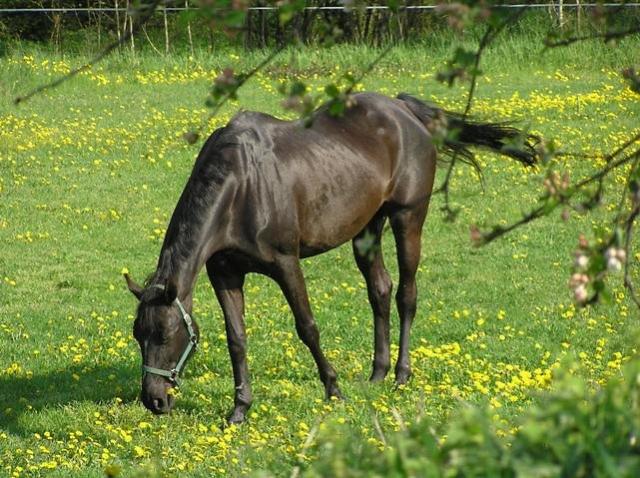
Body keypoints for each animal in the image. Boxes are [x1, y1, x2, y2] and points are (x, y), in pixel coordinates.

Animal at [124, 92, 536, 422]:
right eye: (137, 334)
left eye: (166, 334)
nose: (154, 401)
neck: (240, 186)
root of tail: (404, 109)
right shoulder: (224, 272)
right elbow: (236, 339)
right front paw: (240, 408)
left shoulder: (286, 263)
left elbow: (307, 327)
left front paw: (333, 388)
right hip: (367, 229)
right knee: (380, 290)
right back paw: (377, 373)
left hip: (408, 218)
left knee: (407, 294)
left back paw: (401, 375)